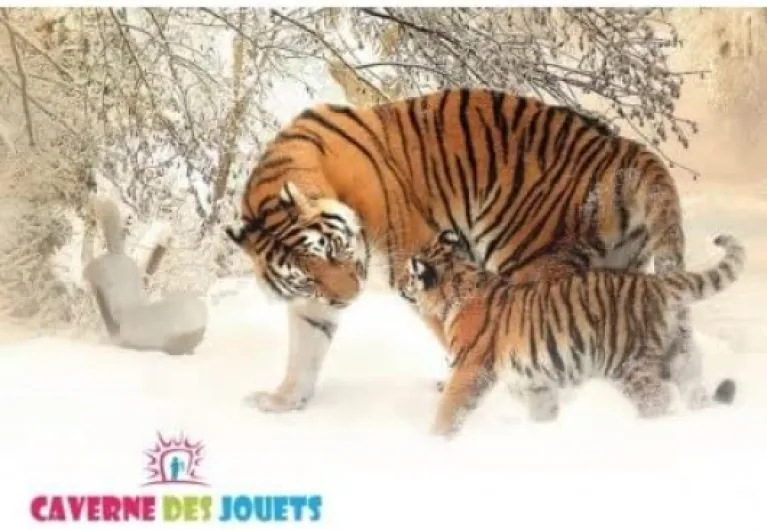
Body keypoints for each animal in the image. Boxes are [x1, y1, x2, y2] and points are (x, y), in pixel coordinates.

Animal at [225, 87, 697, 414]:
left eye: (332, 250)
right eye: (305, 276)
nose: (348, 297)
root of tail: (626, 149)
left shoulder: (417, 261)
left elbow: (455, 328)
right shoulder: (312, 302)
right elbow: (305, 347)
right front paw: (284, 401)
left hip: (530, 258)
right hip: (618, 267)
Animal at [398, 229, 744, 438]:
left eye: (408, 275)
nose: (400, 285)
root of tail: (659, 282)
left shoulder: (470, 367)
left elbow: (450, 406)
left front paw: (435, 440)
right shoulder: (533, 381)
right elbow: (543, 409)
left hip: (629, 365)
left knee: (657, 400)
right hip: (680, 356)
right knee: (695, 393)